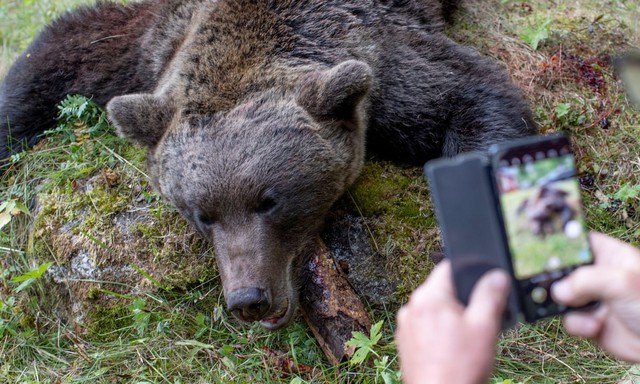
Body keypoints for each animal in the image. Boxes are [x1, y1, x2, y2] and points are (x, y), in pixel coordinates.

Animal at [1, 0, 536, 330]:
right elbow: (63, 52)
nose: (247, 298)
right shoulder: (154, 43)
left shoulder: (381, 56)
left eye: (269, 201)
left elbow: (468, 93)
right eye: (202, 214)